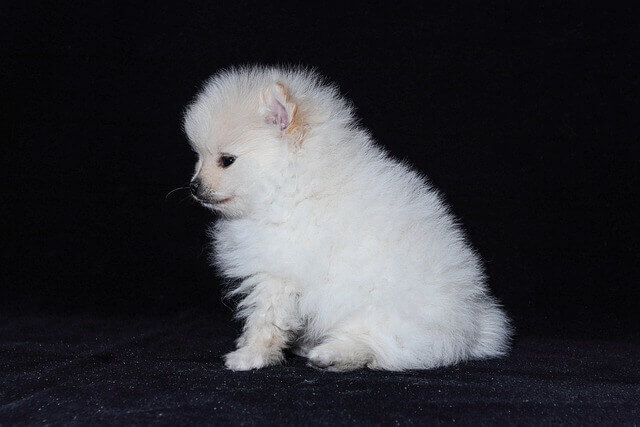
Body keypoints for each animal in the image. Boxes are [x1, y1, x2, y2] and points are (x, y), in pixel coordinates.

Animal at [184, 66, 510, 372]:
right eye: (198, 157)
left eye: (227, 160)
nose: (194, 186)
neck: (291, 183)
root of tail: (473, 327)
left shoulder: (278, 274)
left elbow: (266, 321)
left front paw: (250, 355)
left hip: (383, 311)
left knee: (379, 345)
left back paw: (331, 354)